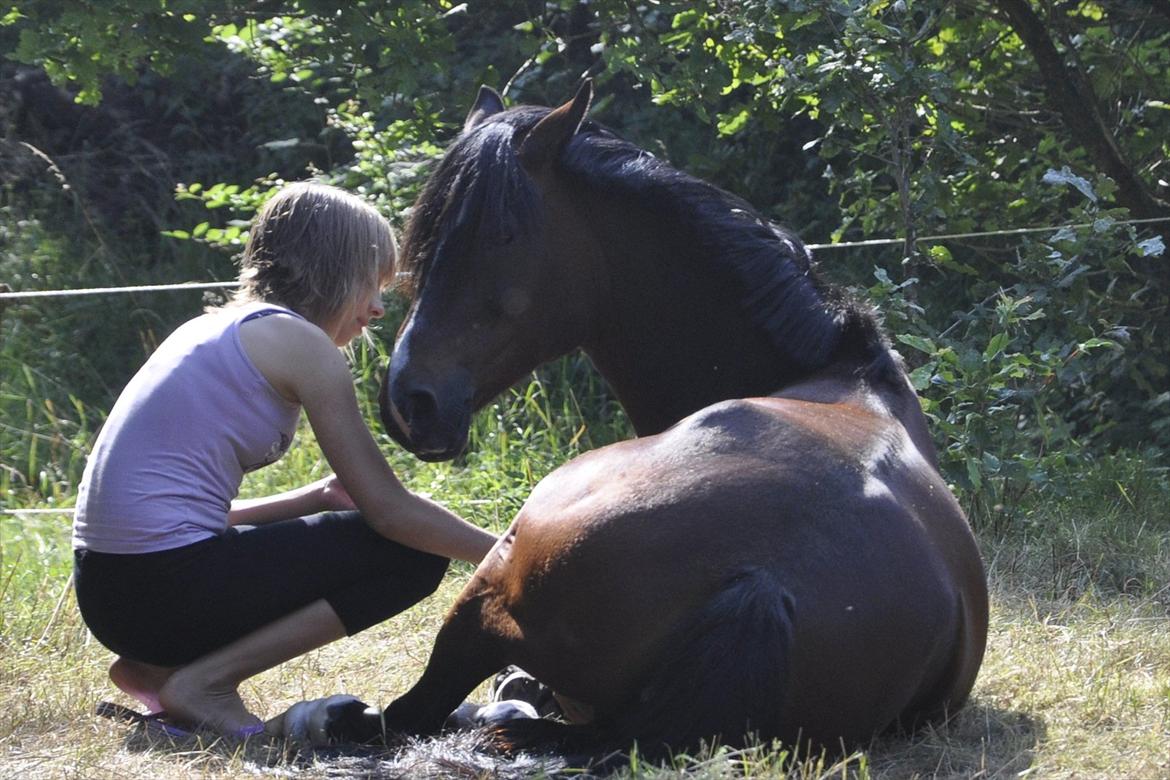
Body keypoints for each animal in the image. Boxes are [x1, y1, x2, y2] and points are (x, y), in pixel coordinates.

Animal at [267, 82, 987, 757]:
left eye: (501, 235)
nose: (407, 402)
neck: (848, 371)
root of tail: (761, 583)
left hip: (487, 587)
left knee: (404, 715)